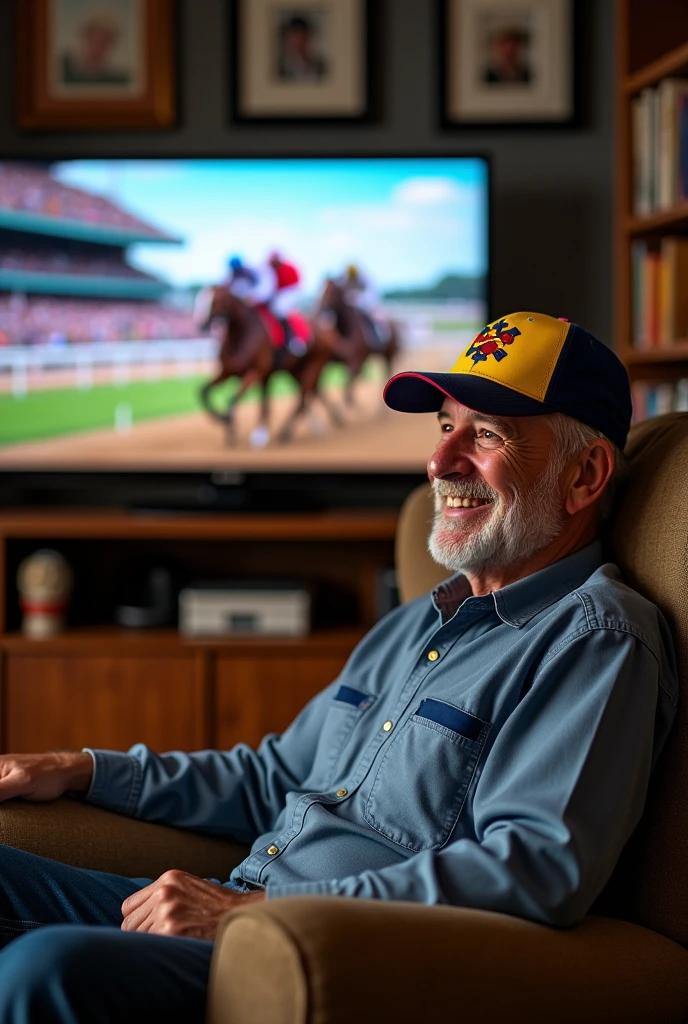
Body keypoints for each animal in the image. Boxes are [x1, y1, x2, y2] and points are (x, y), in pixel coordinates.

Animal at [193, 284, 344, 444]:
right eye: (200, 299)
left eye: (215, 300)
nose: (201, 325)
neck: (241, 335)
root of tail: (326, 330)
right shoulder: (227, 372)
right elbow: (203, 391)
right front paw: (226, 424)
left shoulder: (256, 372)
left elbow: (233, 399)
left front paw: (228, 423)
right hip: (296, 369)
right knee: (311, 392)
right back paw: (321, 423)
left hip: (314, 365)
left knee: (302, 398)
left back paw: (286, 432)